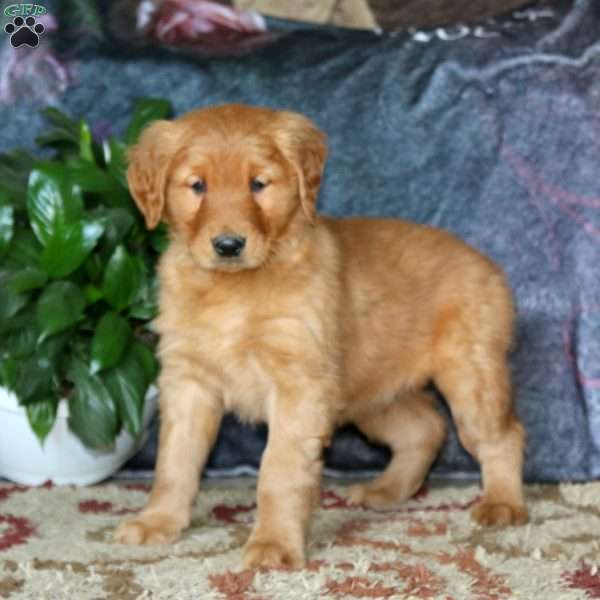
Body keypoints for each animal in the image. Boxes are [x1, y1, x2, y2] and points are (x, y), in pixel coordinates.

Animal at [115, 103, 528, 568]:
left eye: (258, 184)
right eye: (197, 185)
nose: (228, 245)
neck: (234, 290)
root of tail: (488, 265)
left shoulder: (299, 384)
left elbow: (278, 469)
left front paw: (274, 544)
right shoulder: (189, 380)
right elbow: (174, 462)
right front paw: (158, 522)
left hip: (470, 376)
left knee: (502, 435)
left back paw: (502, 503)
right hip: (371, 392)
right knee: (425, 428)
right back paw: (385, 490)